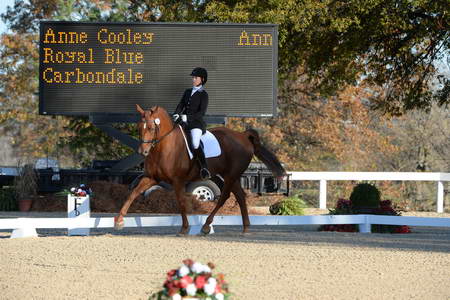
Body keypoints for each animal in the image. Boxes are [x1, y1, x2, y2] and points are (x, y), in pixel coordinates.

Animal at [114, 105, 286, 234]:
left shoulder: (178, 180)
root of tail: (243, 136)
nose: (142, 152)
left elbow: (181, 201)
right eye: (138, 127)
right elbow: (133, 193)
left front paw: (184, 228)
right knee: (240, 196)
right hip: (231, 176)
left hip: (230, 175)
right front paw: (119, 221)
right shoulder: (151, 177)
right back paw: (245, 228)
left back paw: (206, 225)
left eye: (150, 127)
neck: (163, 147)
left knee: (224, 197)